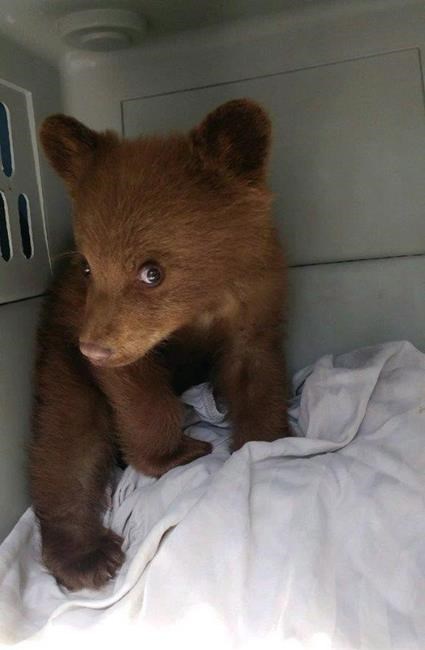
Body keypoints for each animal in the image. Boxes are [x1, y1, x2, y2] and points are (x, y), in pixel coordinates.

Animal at [30, 99, 289, 592]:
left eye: (153, 271)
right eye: (87, 266)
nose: (92, 348)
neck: (201, 306)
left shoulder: (254, 301)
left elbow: (255, 373)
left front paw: (267, 443)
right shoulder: (95, 319)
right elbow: (138, 392)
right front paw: (176, 453)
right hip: (59, 358)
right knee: (65, 441)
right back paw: (87, 555)